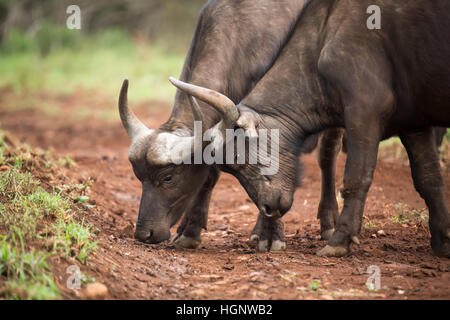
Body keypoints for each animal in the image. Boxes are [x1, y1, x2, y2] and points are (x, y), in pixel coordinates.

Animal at [171, 0, 450, 256]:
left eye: (238, 158)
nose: (268, 208)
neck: (326, 34)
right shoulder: (414, 125)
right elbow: (429, 178)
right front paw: (443, 240)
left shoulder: (364, 113)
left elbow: (356, 178)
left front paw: (340, 240)